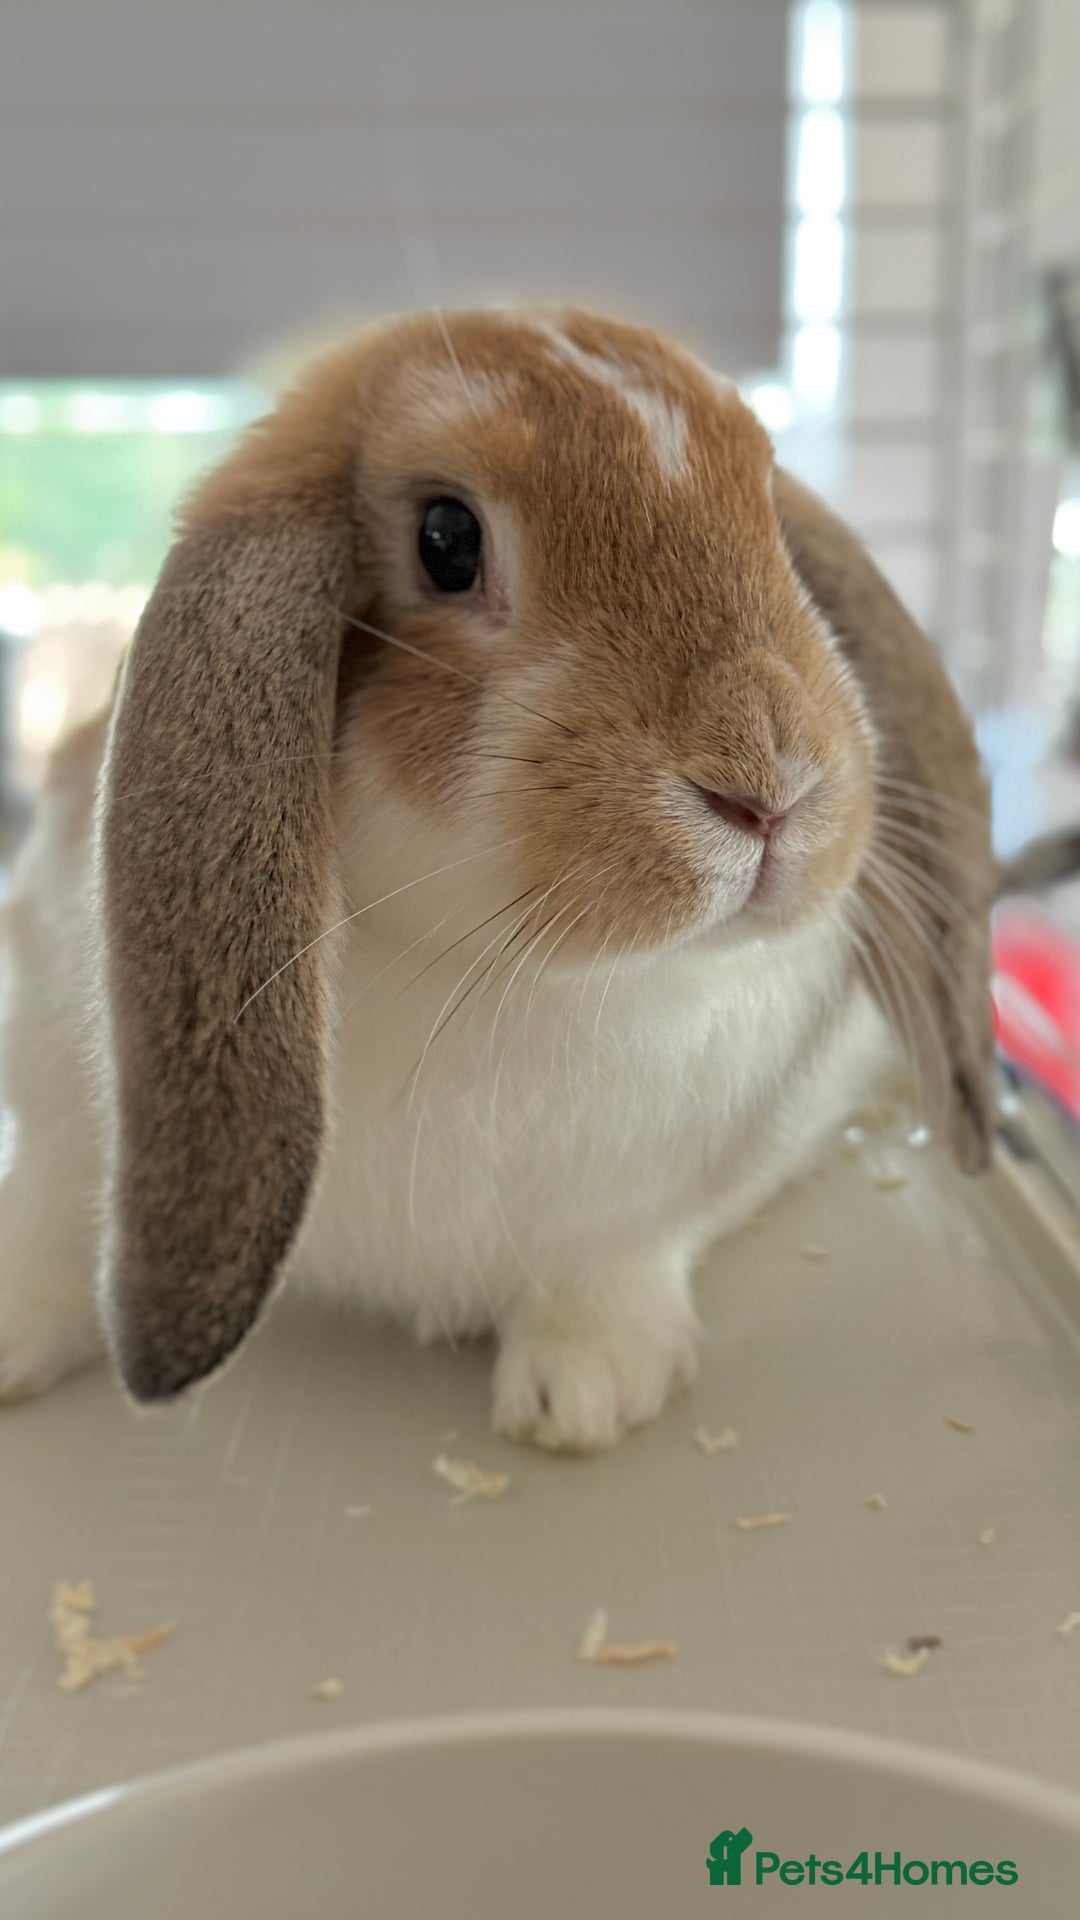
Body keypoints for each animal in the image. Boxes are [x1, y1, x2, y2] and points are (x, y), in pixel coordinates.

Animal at [0, 306, 997, 1451]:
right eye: (447, 539)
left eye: (776, 530)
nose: (772, 789)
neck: (486, 967)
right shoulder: (51, 1092)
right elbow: (46, 1217)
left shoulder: (659, 1198)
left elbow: (622, 1260)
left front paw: (585, 1395)